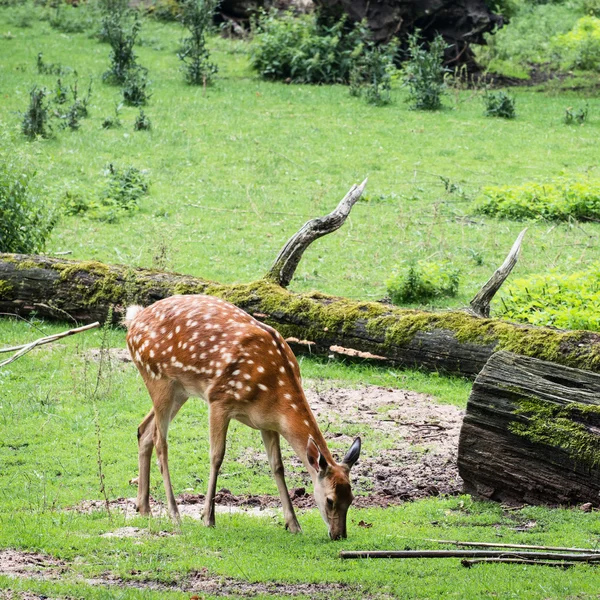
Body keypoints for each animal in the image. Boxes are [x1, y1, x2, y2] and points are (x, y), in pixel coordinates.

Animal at [126, 294, 360, 540]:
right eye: (330, 500)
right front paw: (207, 518)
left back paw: (144, 508)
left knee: (144, 430)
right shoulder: (218, 399)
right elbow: (216, 457)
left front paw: (294, 524)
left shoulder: (267, 424)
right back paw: (174, 514)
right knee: (161, 442)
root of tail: (134, 319)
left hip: (180, 390)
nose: (339, 535)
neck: (273, 393)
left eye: (351, 498)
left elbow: (277, 466)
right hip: (158, 378)